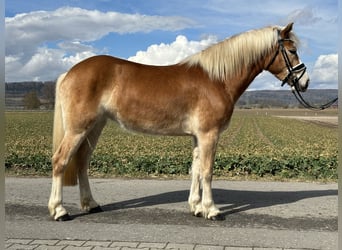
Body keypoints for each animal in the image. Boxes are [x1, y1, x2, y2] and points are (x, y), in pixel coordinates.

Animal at [47, 23, 310, 221]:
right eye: (292, 50)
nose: (305, 81)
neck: (216, 79)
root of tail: (70, 72)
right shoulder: (209, 134)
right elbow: (207, 171)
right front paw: (212, 210)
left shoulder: (198, 136)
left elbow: (195, 170)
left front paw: (196, 207)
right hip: (78, 128)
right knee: (61, 160)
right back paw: (59, 210)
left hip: (94, 127)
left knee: (81, 163)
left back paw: (90, 204)